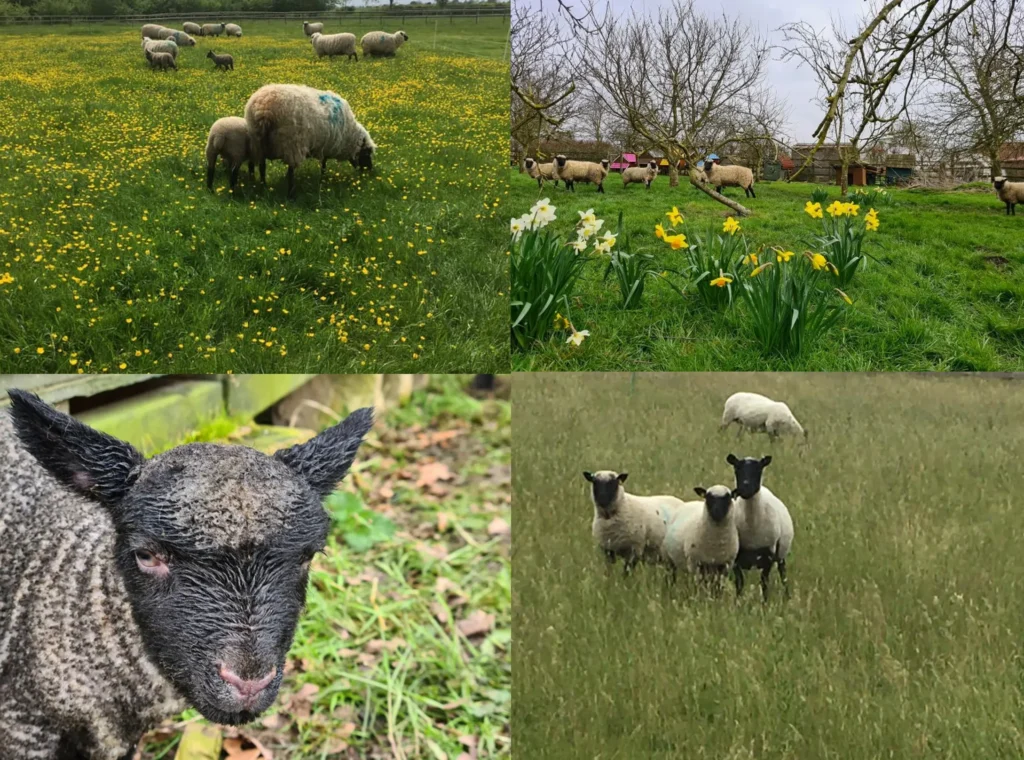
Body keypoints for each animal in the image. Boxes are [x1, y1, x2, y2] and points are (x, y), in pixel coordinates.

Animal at [244, 83, 377, 199]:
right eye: (367, 153)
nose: (370, 171)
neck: (349, 136)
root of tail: (263, 109)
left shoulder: (325, 145)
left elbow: (324, 162)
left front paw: (322, 177)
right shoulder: (327, 145)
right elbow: (324, 163)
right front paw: (323, 178)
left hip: (257, 142)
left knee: (261, 166)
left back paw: (262, 186)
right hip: (292, 143)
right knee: (290, 170)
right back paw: (291, 195)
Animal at [726, 454, 794, 600]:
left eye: (759, 469)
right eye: (736, 468)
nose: (745, 488)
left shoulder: (768, 555)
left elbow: (764, 583)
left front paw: (765, 603)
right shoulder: (736, 558)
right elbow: (739, 582)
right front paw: (738, 602)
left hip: (781, 554)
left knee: (783, 575)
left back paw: (787, 597)